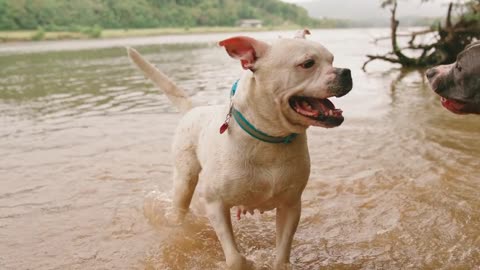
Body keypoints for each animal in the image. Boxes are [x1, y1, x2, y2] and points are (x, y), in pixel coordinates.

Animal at [127, 30, 352, 268]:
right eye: (308, 63)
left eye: (332, 59)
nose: (346, 72)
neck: (271, 138)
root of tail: (194, 109)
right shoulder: (215, 204)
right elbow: (234, 257)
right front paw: (244, 262)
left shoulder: (290, 206)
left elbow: (282, 253)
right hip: (184, 180)